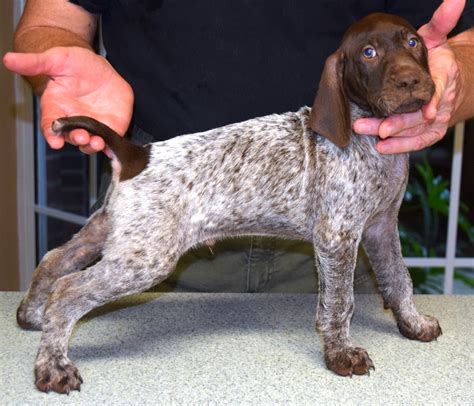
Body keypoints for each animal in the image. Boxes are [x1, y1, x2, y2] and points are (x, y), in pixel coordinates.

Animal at [17, 13, 440, 394]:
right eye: (369, 52)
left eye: (413, 42)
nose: (410, 81)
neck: (368, 140)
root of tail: (137, 153)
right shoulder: (337, 236)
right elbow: (339, 302)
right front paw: (340, 354)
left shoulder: (381, 227)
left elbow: (399, 280)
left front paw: (413, 324)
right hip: (146, 258)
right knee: (68, 291)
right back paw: (53, 365)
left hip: (116, 232)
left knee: (55, 260)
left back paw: (32, 314)